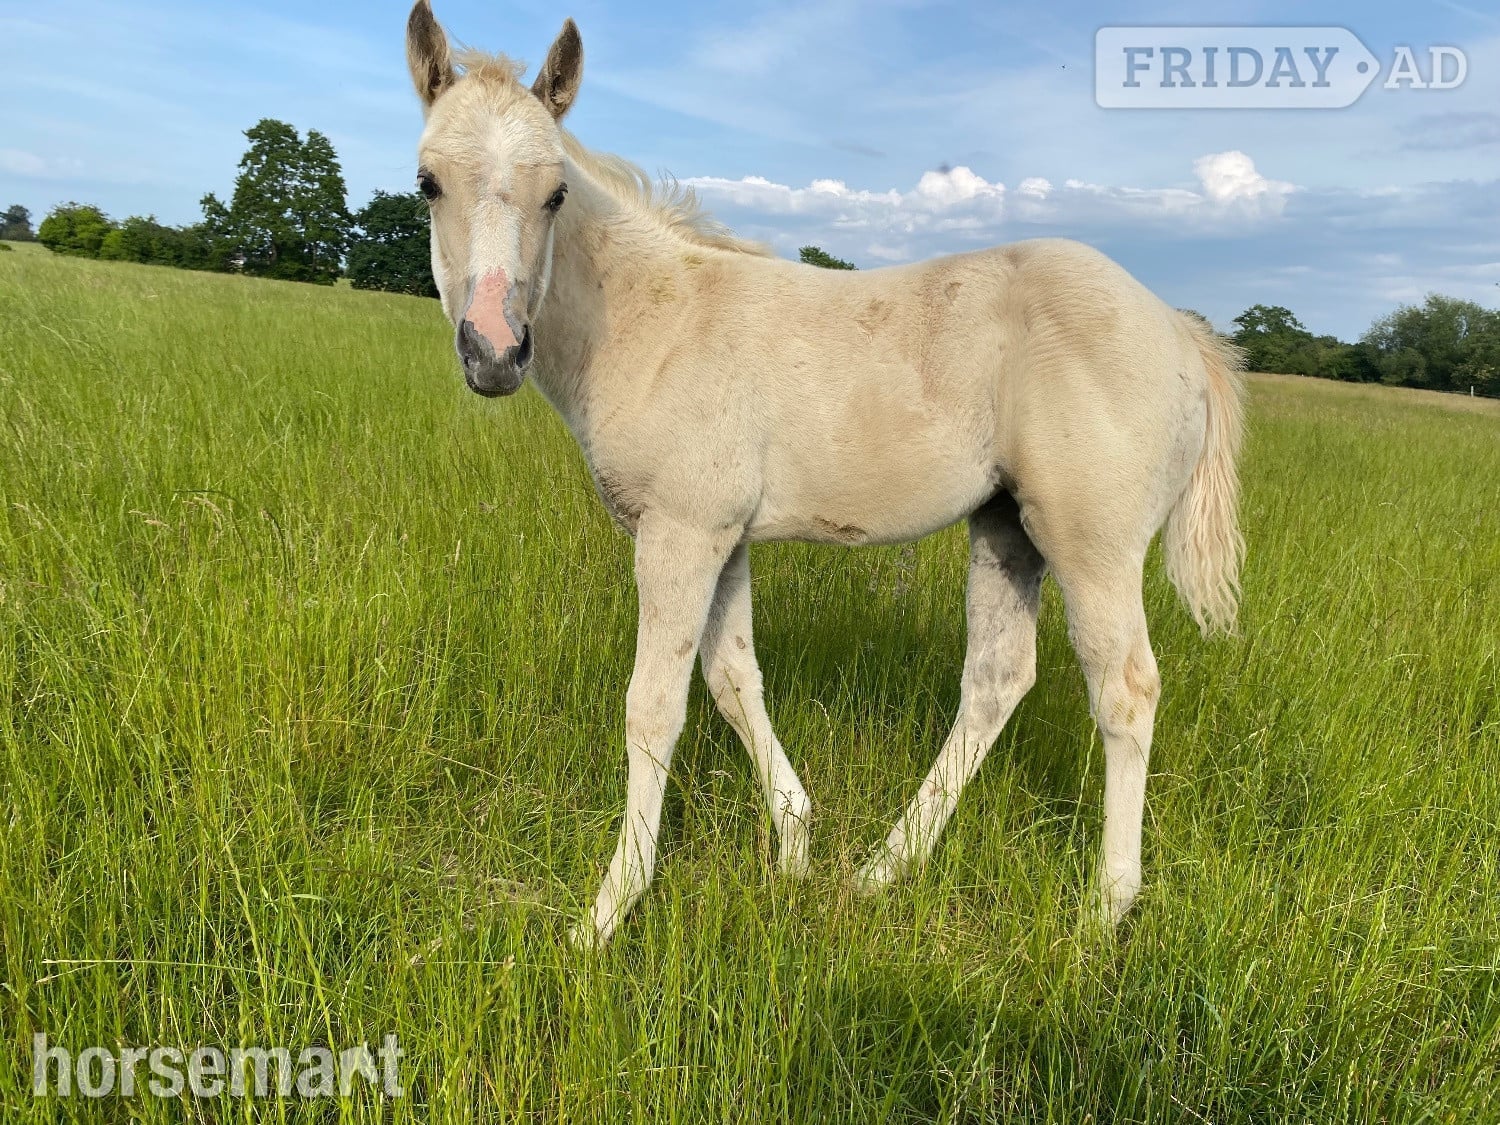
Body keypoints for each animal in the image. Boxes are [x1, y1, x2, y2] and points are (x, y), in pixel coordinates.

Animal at [403, 1, 1246, 947]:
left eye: (554, 193)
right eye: (429, 182)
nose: (493, 352)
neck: (652, 320)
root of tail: (1181, 332)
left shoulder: (679, 532)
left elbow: (654, 706)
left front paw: (606, 911)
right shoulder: (723, 537)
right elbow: (734, 680)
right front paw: (797, 845)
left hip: (1090, 544)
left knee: (1125, 689)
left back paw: (1104, 910)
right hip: (1006, 528)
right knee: (998, 680)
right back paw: (881, 870)